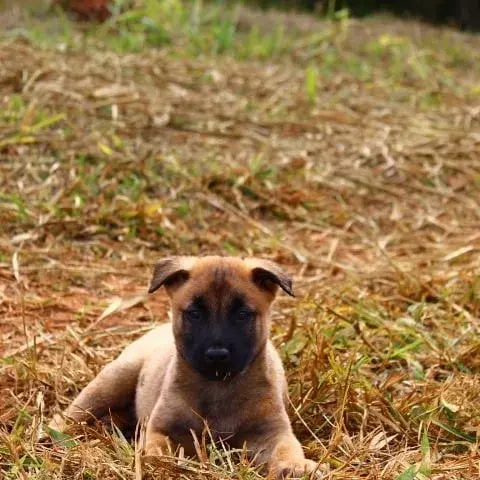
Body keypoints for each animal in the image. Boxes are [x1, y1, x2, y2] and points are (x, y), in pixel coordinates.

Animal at [49, 256, 322, 478]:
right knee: (69, 414)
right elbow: (156, 451)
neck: (218, 387)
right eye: (194, 313)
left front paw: (296, 466)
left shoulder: (272, 431)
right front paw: (162, 464)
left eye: (243, 314)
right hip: (114, 379)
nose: (217, 355)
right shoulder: (160, 429)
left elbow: (286, 448)